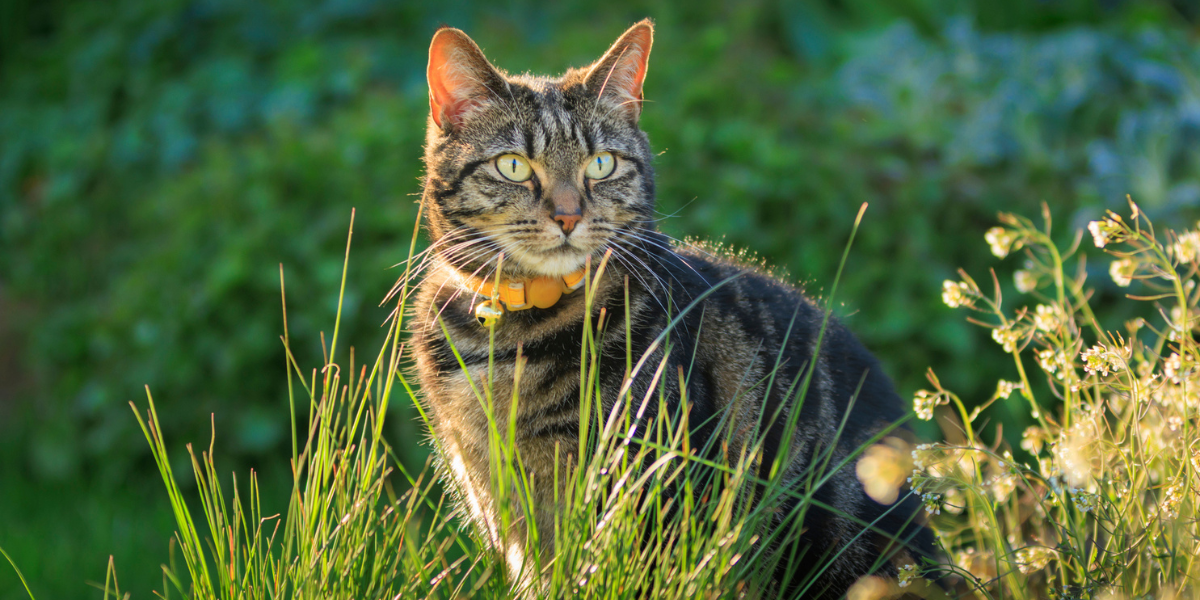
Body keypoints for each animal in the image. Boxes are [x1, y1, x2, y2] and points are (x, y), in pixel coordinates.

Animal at [408, 19, 931, 600]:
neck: (513, 332)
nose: (568, 216)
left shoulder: (641, 498)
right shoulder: (496, 499)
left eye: (602, 164)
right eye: (514, 166)